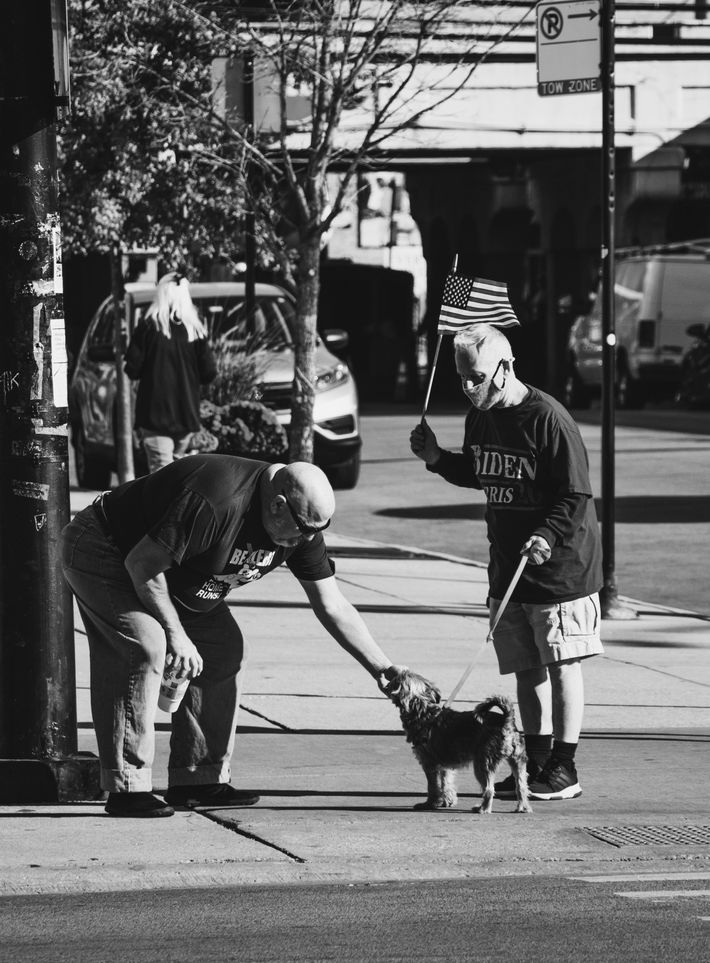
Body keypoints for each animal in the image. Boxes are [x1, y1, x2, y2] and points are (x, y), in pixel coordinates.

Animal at [386, 672, 532, 812]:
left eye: (394, 680)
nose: (386, 685)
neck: (424, 711)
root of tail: (506, 721)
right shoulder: (444, 765)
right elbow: (446, 783)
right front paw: (447, 801)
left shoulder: (429, 763)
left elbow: (432, 787)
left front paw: (429, 804)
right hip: (517, 761)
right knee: (521, 786)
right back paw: (523, 807)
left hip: (482, 763)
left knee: (489, 789)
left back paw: (483, 808)